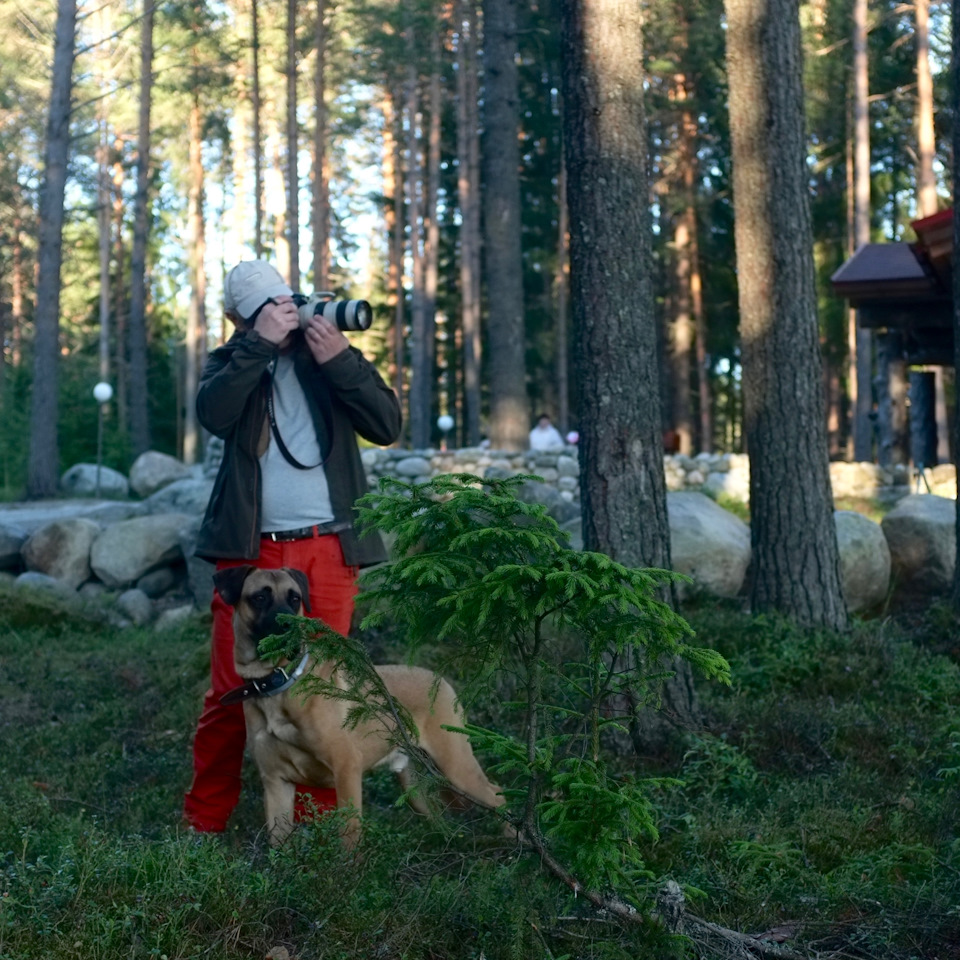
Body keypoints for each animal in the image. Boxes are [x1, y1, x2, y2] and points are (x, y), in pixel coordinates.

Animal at [213, 568, 506, 844]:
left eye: (294, 598)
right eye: (259, 597)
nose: (289, 626)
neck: (279, 683)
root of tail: (439, 679)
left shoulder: (346, 768)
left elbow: (350, 838)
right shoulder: (276, 785)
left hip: (456, 766)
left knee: (498, 796)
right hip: (414, 786)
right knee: (438, 816)